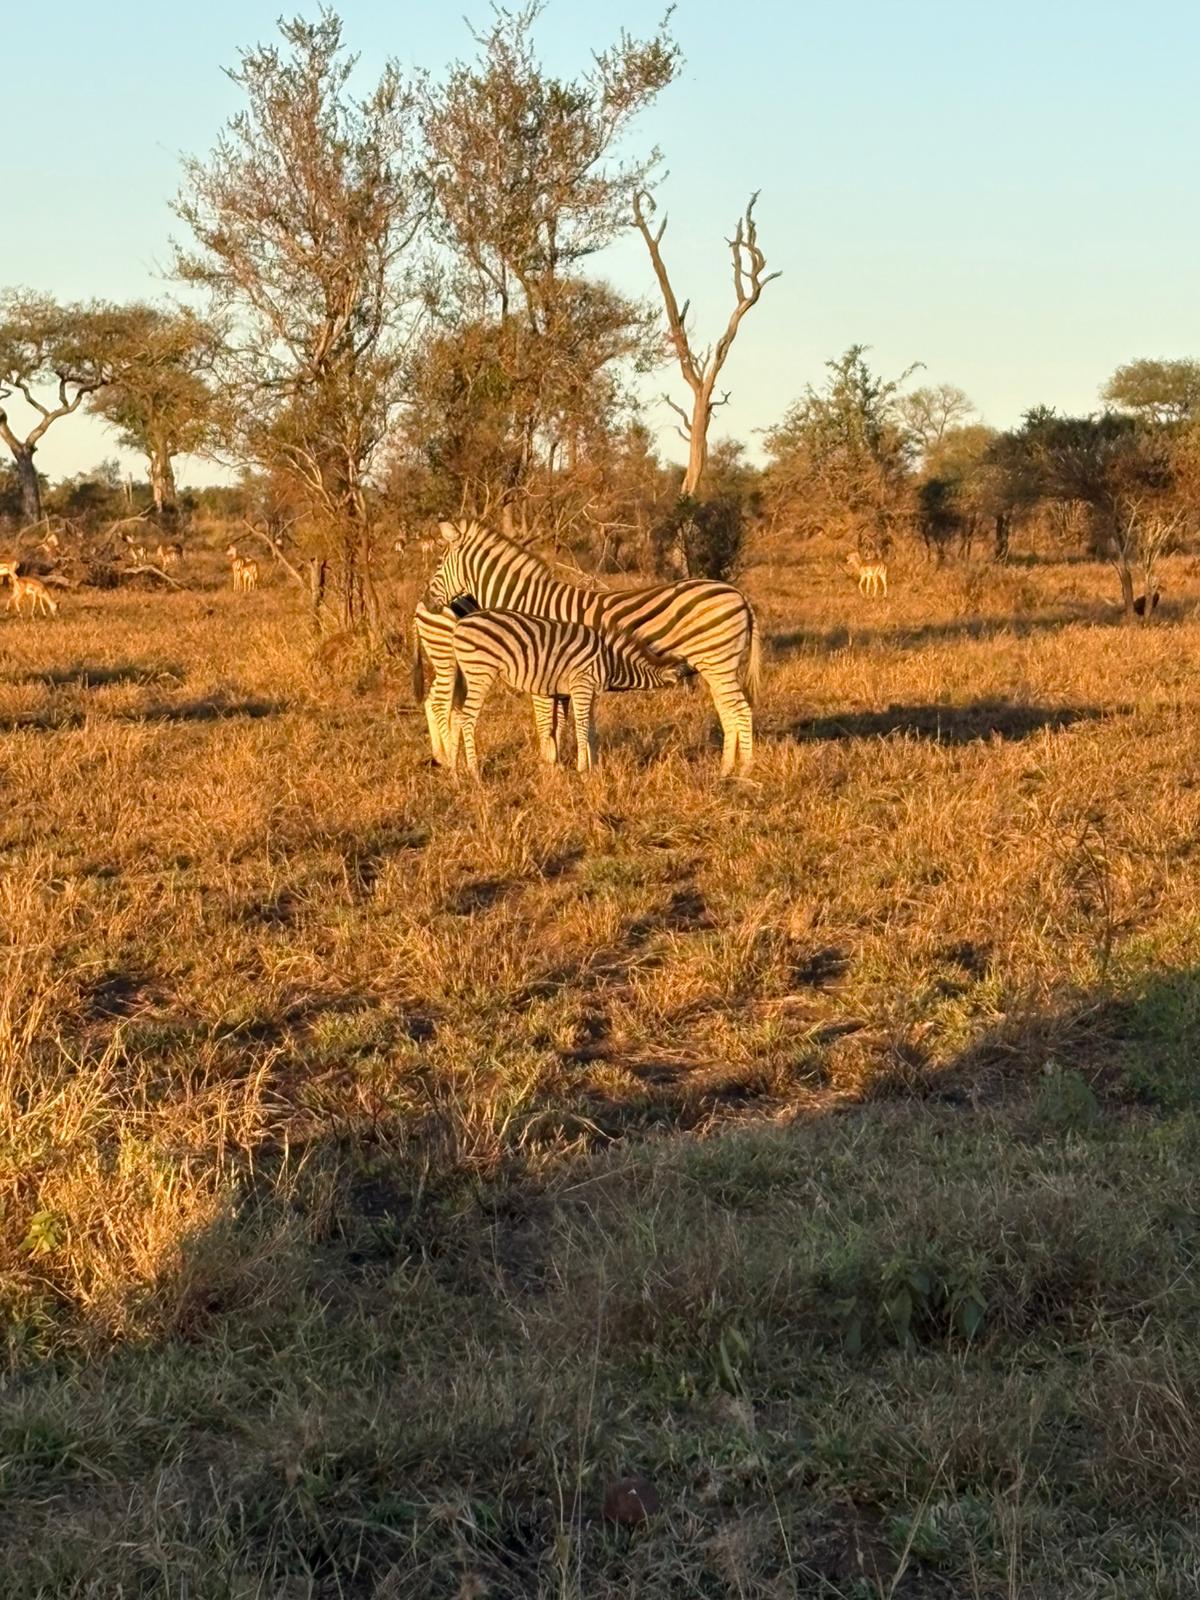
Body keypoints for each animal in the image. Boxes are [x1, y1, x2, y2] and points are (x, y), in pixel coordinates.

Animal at [445, 610, 692, 778]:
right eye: (689, 673)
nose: (694, 697)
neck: (611, 661)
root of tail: (460, 623)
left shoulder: (590, 691)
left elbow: (590, 728)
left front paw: (594, 766)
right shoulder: (582, 684)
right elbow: (581, 725)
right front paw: (582, 768)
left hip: (468, 675)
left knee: (456, 715)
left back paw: (455, 769)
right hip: (481, 672)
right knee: (467, 718)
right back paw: (474, 770)